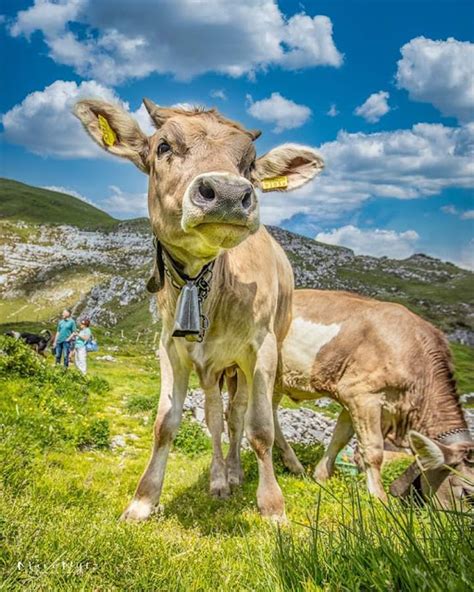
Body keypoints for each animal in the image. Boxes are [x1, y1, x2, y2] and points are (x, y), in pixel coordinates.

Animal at [74, 96, 324, 520]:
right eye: (163, 147)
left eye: (249, 165)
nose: (227, 193)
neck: (203, 283)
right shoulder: (170, 348)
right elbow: (166, 424)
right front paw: (143, 500)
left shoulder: (261, 348)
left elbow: (260, 427)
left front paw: (273, 505)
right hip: (215, 368)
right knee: (219, 415)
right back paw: (223, 477)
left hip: (268, 348)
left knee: (253, 412)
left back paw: (277, 465)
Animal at [223, 290, 474, 506]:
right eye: (466, 493)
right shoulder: (363, 394)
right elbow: (373, 449)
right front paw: (379, 498)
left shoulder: (357, 399)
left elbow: (341, 437)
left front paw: (321, 475)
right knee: (239, 413)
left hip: (276, 380)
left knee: (270, 414)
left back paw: (294, 465)